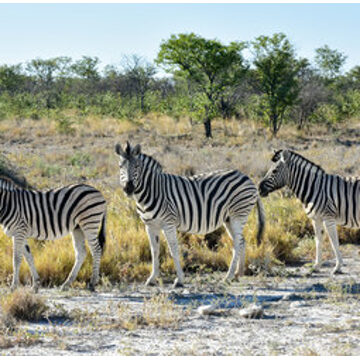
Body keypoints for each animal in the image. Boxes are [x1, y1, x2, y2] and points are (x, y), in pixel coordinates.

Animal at [115, 141, 264, 286]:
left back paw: (228, 276)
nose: (128, 188)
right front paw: (152, 278)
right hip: (229, 219)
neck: (152, 192)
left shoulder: (168, 223)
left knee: (238, 243)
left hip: (238, 215)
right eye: (120, 166)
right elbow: (154, 250)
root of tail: (247, 178)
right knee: (241, 241)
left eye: (137, 167)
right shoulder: (150, 226)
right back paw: (238, 274)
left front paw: (179, 280)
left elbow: (173, 249)